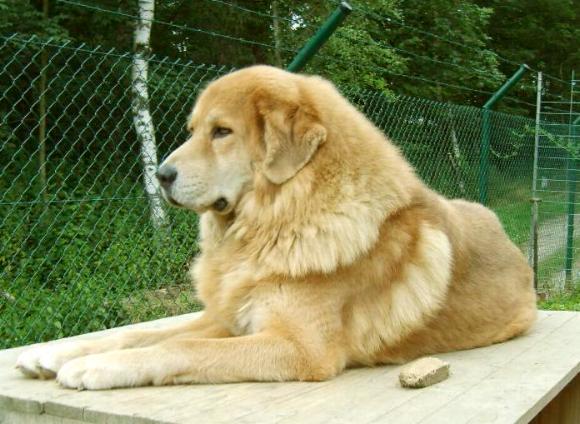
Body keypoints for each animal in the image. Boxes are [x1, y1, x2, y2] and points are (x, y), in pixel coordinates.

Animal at [17, 67, 536, 390]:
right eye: (194, 130)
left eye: (222, 132)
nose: (160, 175)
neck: (280, 219)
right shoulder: (231, 318)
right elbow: (143, 334)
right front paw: (60, 353)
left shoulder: (297, 348)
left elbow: (180, 346)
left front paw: (97, 366)